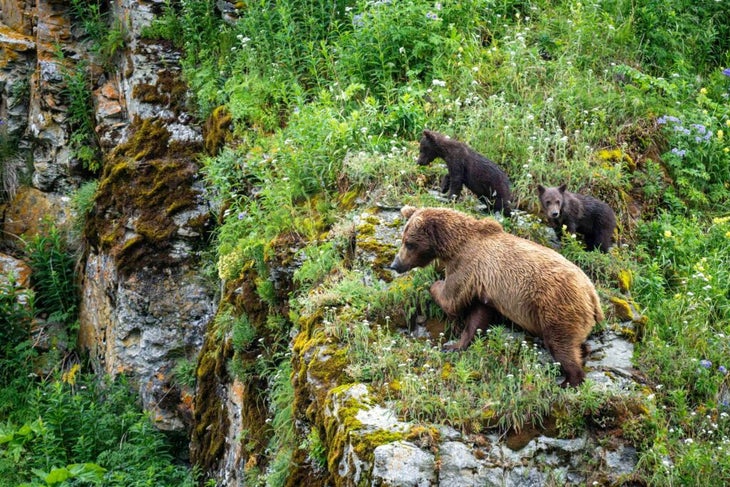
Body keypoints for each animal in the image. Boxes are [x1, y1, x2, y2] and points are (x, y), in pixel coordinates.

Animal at [392, 206, 604, 388]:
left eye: (408, 243)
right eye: (403, 239)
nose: (395, 264)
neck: (453, 246)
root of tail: (592, 294)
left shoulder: (466, 265)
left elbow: (451, 299)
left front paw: (433, 285)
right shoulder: (485, 288)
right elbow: (477, 318)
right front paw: (454, 345)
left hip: (557, 307)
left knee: (560, 343)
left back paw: (568, 381)